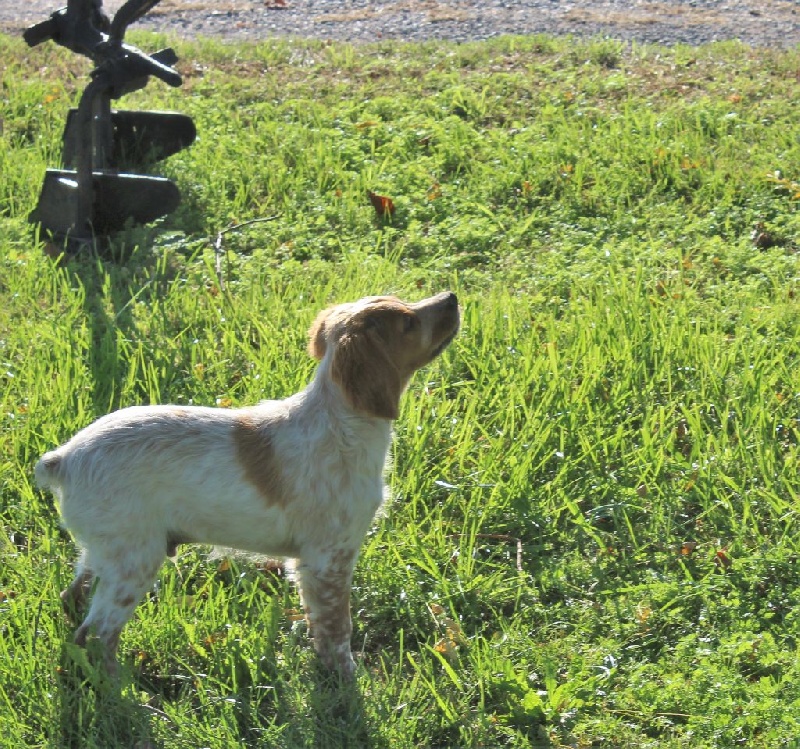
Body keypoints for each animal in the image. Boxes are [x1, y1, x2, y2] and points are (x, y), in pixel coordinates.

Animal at [34, 290, 460, 676]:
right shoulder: (327, 559)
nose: (452, 296)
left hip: (104, 552)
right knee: (96, 634)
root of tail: (65, 459)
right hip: (133, 563)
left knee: (73, 600)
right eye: (408, 323)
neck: (340, 421)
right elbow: (337, 630)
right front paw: (348, 683)